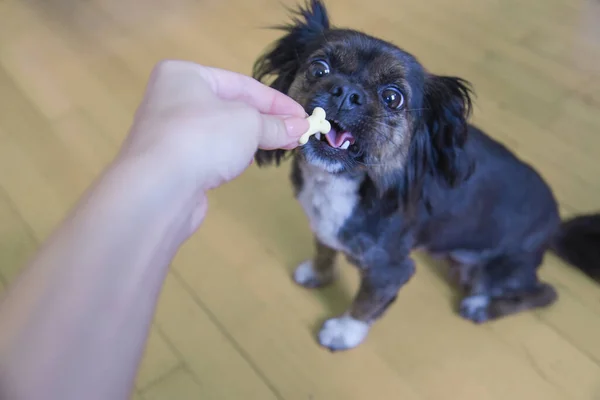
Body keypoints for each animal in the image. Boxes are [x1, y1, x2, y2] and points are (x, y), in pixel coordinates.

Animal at [251, 0, 596, 352]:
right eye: (319, 68)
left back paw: (482, 306)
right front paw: (318, 273)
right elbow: (324, 248)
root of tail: (556, 223)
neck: (342, 182)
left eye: (393, 98)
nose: (346, 92)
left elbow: (367, 303)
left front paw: (344, 331)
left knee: (544, 293)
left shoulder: (390, 269)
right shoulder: (325, 227)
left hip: (497, 269)